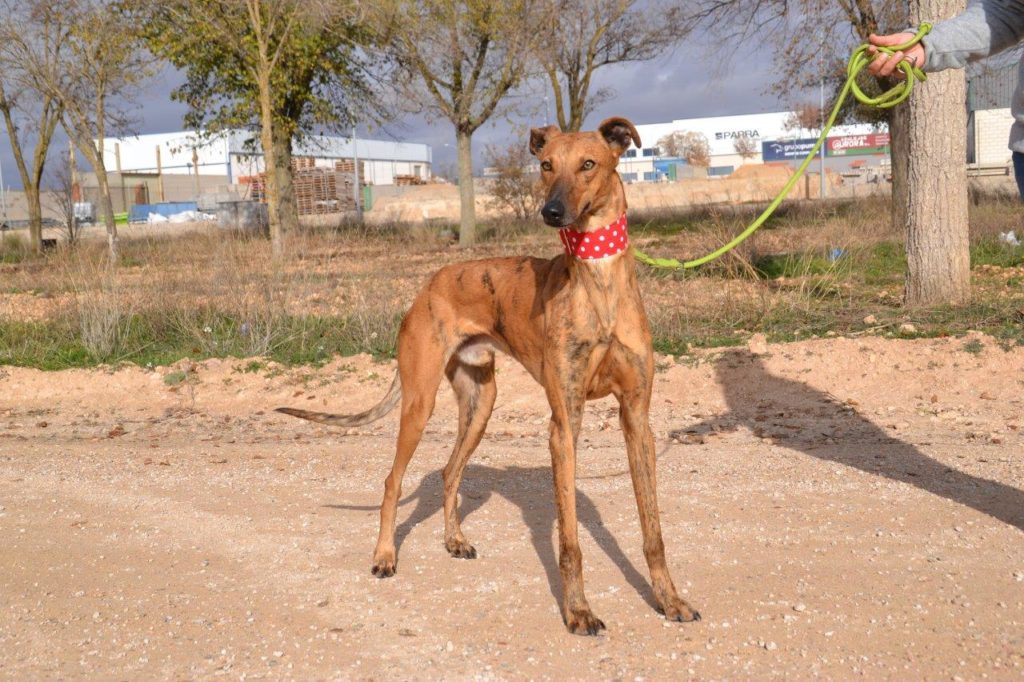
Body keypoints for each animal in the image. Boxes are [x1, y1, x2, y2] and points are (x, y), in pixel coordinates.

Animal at [276, 116, 700, 630]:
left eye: (588, 164)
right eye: (545, 164)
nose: (551, 212)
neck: (597, 281)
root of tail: (426, 286)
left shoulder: (637, 417)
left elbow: (653, 530)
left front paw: (669, 600)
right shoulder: (565, 423)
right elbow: (570, 540)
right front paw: (578, 610)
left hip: (481, 403)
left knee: (448, 472)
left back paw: (453, 540)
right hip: (419, 402)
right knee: (393, 481)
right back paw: (384, 556)